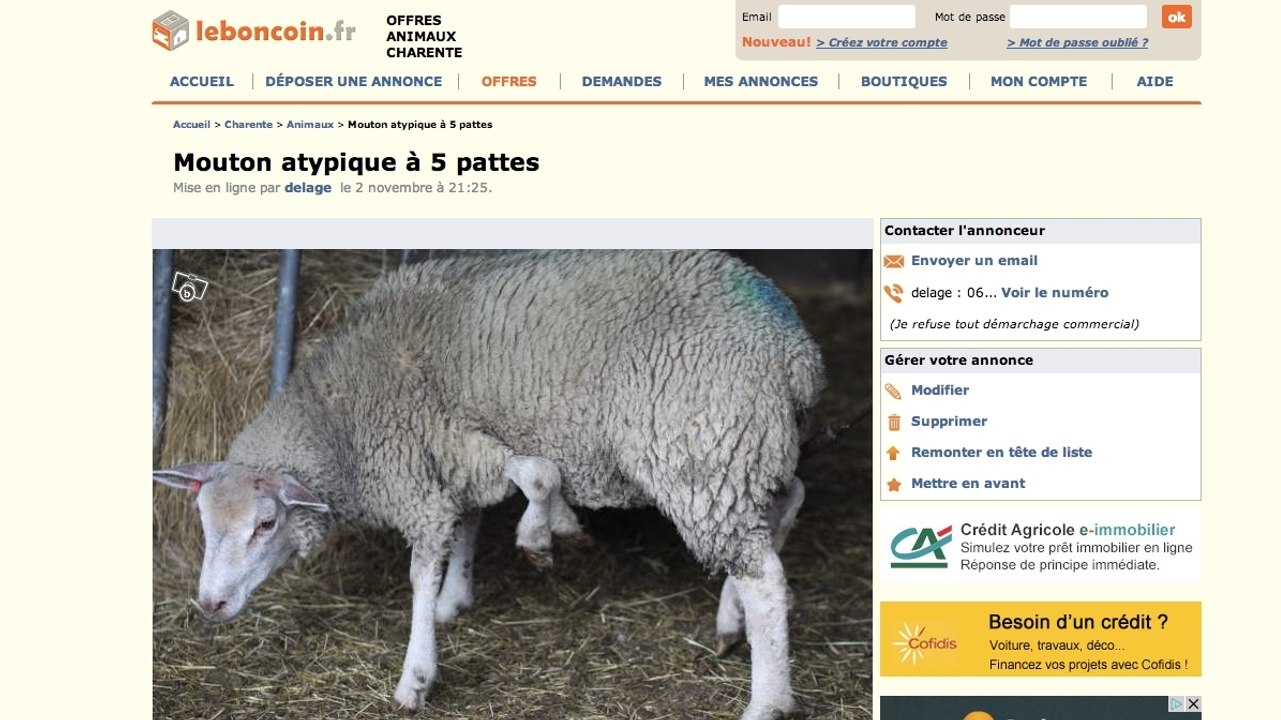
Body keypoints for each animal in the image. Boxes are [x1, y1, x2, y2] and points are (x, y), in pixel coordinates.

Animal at [153, 249, 824, 720]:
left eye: (266, 523)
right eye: (203, 522)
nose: (209, 606)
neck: (339, 416)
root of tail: (795, 351)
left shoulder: (436, 453)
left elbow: (518, 490)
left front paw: (418, 674)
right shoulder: (451, 460)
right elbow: (475, 522)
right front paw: (462, 594)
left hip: (702, 449)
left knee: (765, 577)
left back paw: (767, 698)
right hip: (748, 446)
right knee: (786, 503)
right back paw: (732, 622)